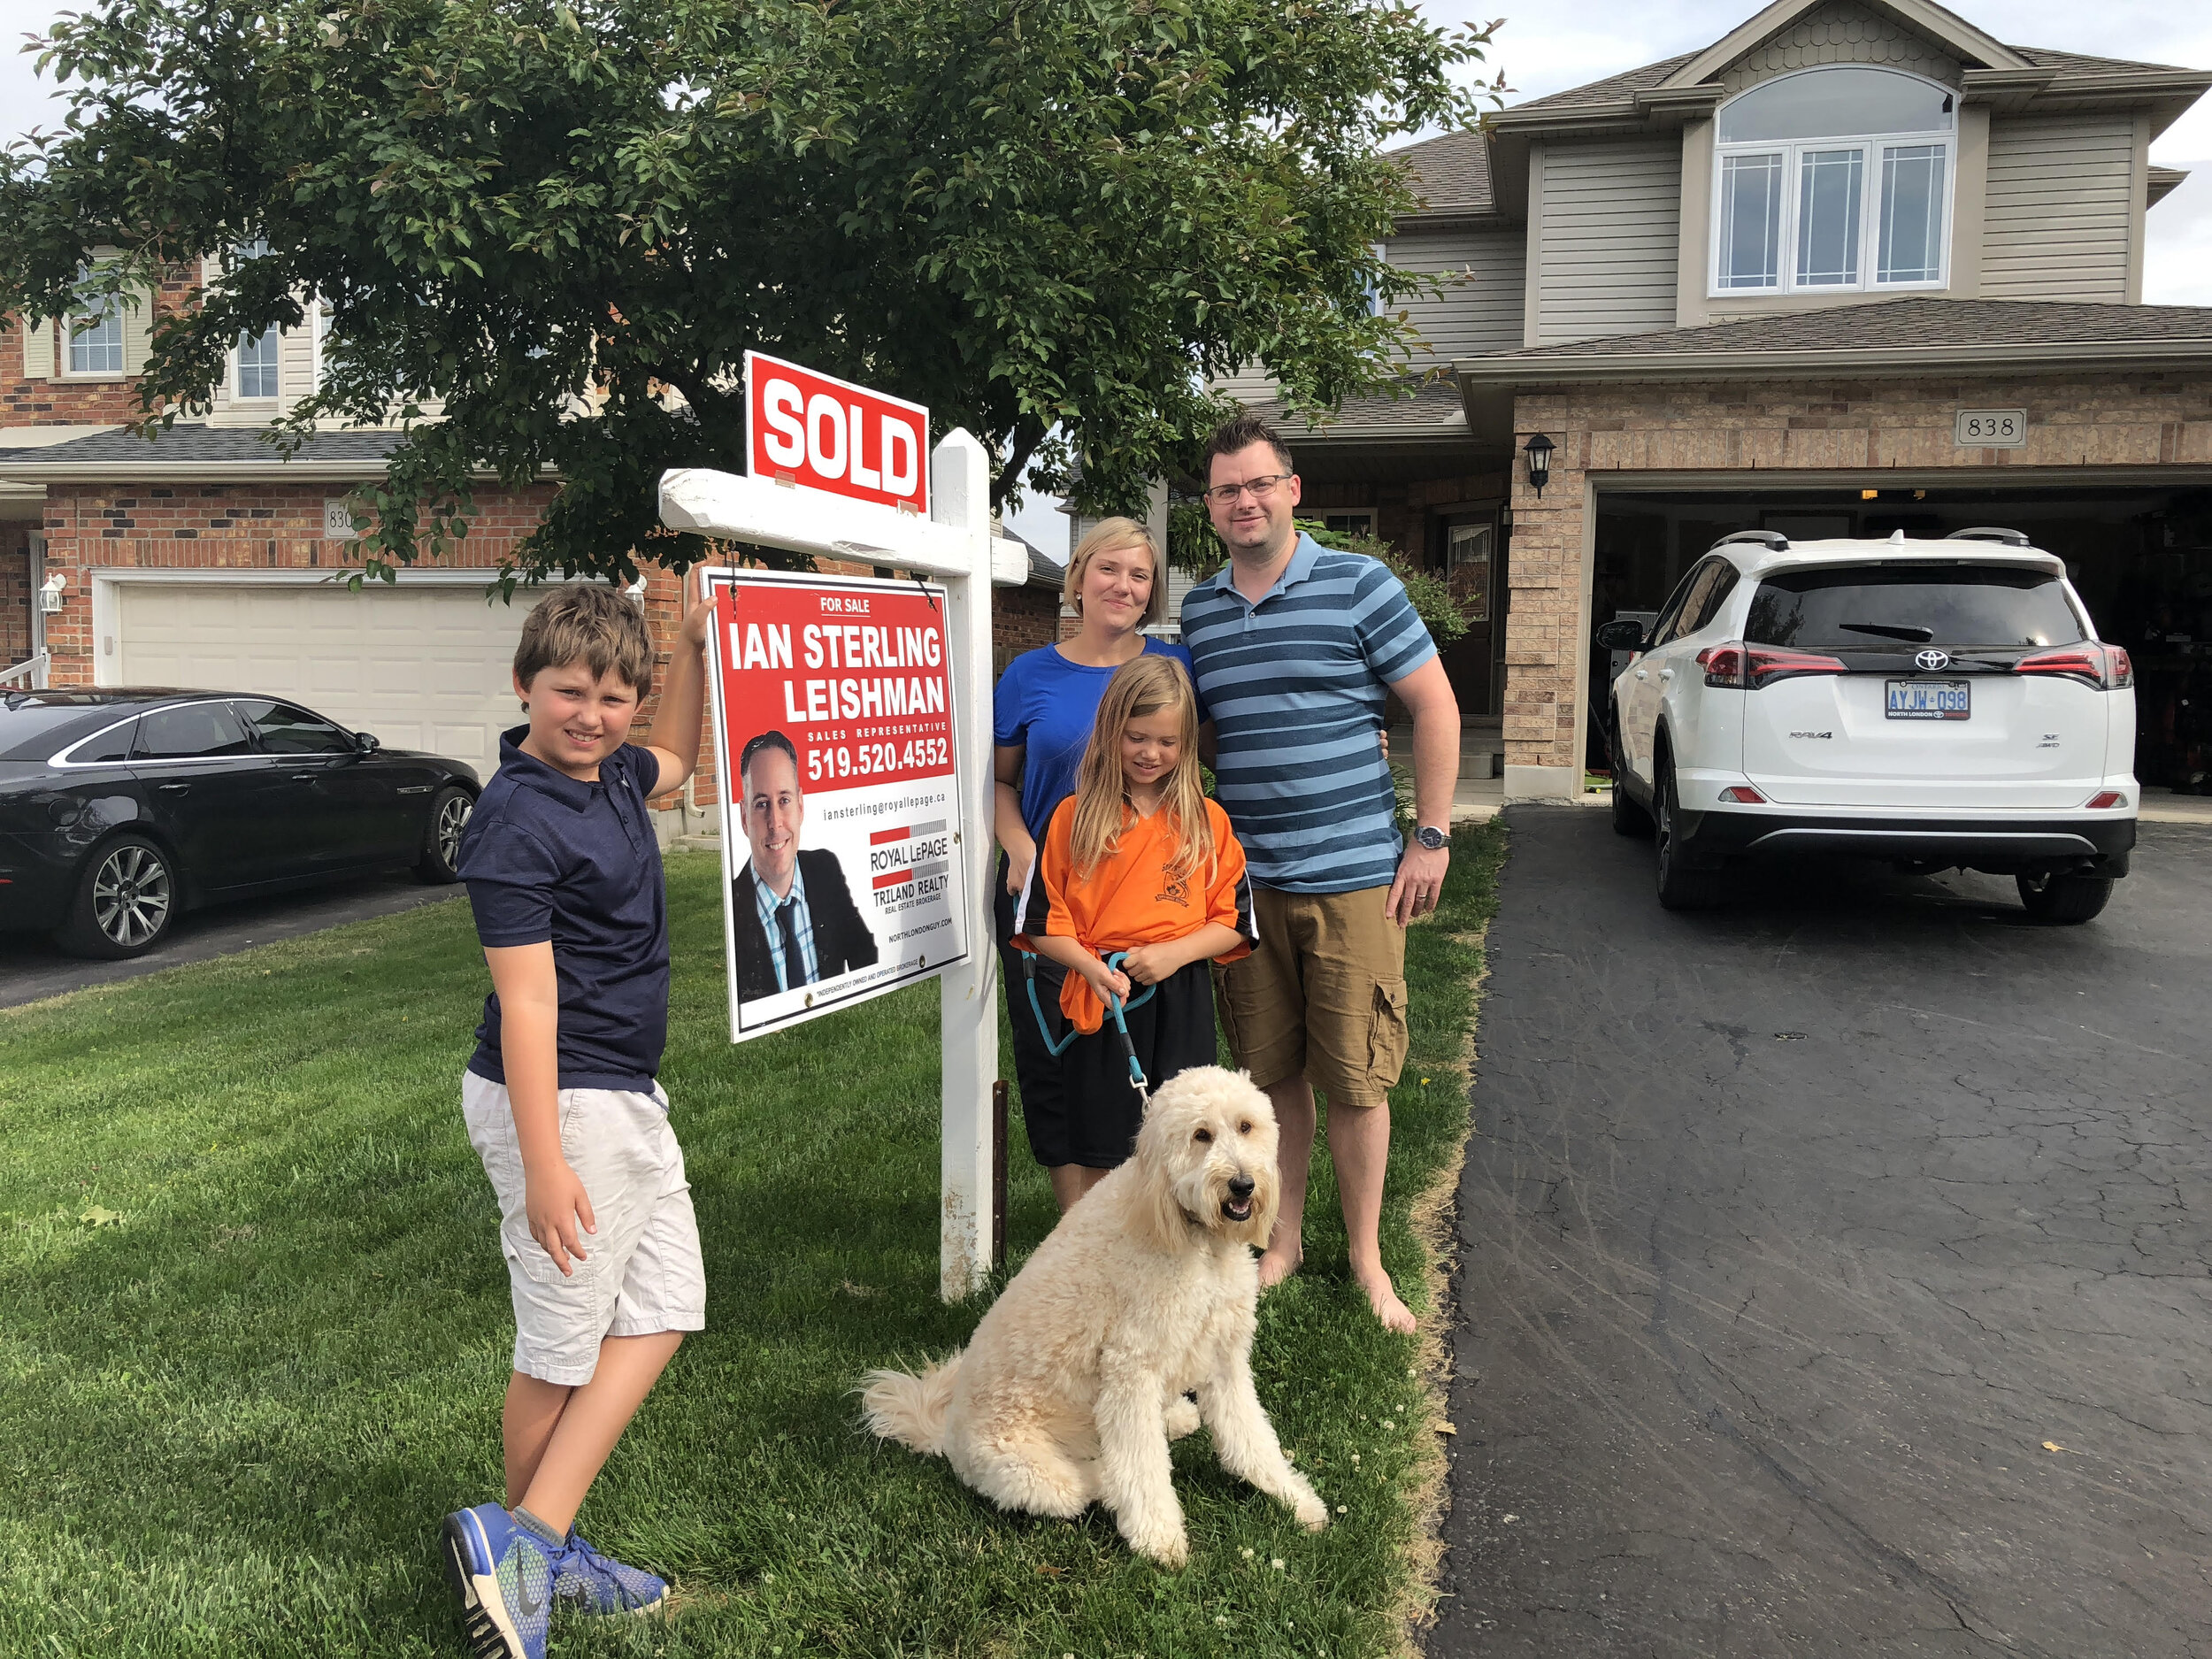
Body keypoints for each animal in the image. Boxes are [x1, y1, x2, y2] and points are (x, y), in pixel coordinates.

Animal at [854, 1071, 1318, 1566]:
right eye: (1201, 1135)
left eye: (1246, 1126)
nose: (1242, 1185)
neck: (1191, 1234)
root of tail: (947, 1434)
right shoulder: (1130, 1369)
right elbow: (1143, 1467)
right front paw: (1160, 1539)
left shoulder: (1224, 1359)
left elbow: (1252, 1438)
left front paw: (1296, 1500)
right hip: (1033, 1473)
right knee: (1092, 1481)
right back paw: (1113, 1478)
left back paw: (1176, 1417)